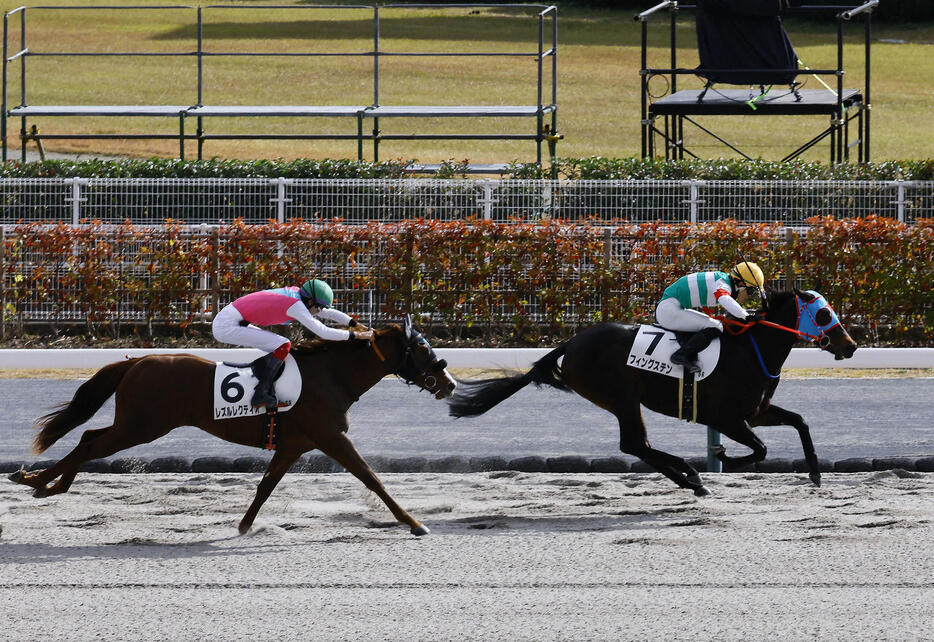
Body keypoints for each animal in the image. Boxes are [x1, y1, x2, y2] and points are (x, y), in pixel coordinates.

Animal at [8, 316, 458, 536]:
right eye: (422, 348)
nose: (450, 382)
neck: (332, 375)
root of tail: (138, 360)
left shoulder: (294, 444)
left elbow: (266, 485)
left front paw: (243, 526)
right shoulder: (331, 436)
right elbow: (371, 478)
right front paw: (414, 522)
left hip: (138, 423)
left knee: (88, 437)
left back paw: (46, 483)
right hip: (142, 425)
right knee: (89, 442)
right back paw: (36, 480)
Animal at [450, 290, 860, 496]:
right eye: (824, 314)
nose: (851, 345)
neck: (752, 349)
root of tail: (573, 342)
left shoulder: (757, 412)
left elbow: (800, 422)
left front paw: (815, 474)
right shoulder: (727, 418)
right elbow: (759, 449)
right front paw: (721, 457)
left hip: (623, 401)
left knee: (637, 446)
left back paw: (689, 480)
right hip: (622, 398)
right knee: (635, 444)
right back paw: (691, 476)